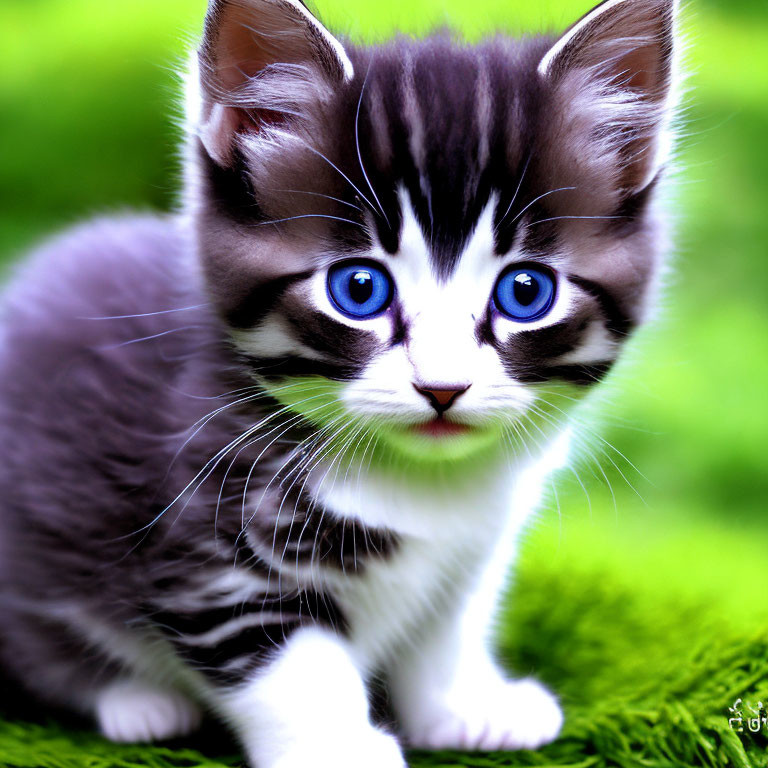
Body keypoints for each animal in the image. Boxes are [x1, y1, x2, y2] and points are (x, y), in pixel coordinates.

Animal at [0, 0, 680, 764]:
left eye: (525, 292)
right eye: (359, 289)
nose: (442, 387)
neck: (420, 483)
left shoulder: (475, 545)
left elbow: (449, 625)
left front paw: (461, 705)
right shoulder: (207, 542)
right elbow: (288, 664)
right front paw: (340, 748)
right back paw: (136, 701)